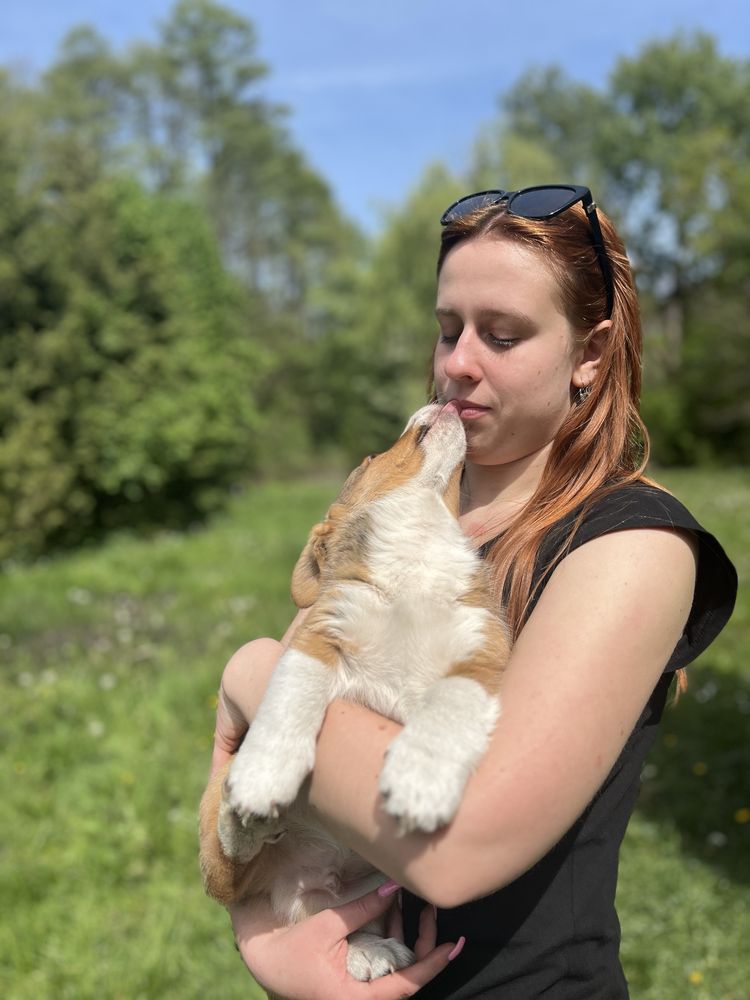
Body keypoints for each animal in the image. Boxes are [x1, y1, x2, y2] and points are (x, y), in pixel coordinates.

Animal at [200, 404, 512, 984]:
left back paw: (368, 949)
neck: (417, 552)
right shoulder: (318, 637)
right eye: (370, 456)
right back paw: (246, 820)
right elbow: (290, 700)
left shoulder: (481, 656)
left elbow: (447, 712)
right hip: (216, 815)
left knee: (338, 917)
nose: (442, 400)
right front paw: (263, 777)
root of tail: (297, 882)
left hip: (371, 888)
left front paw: (420, 783)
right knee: (228, 872)